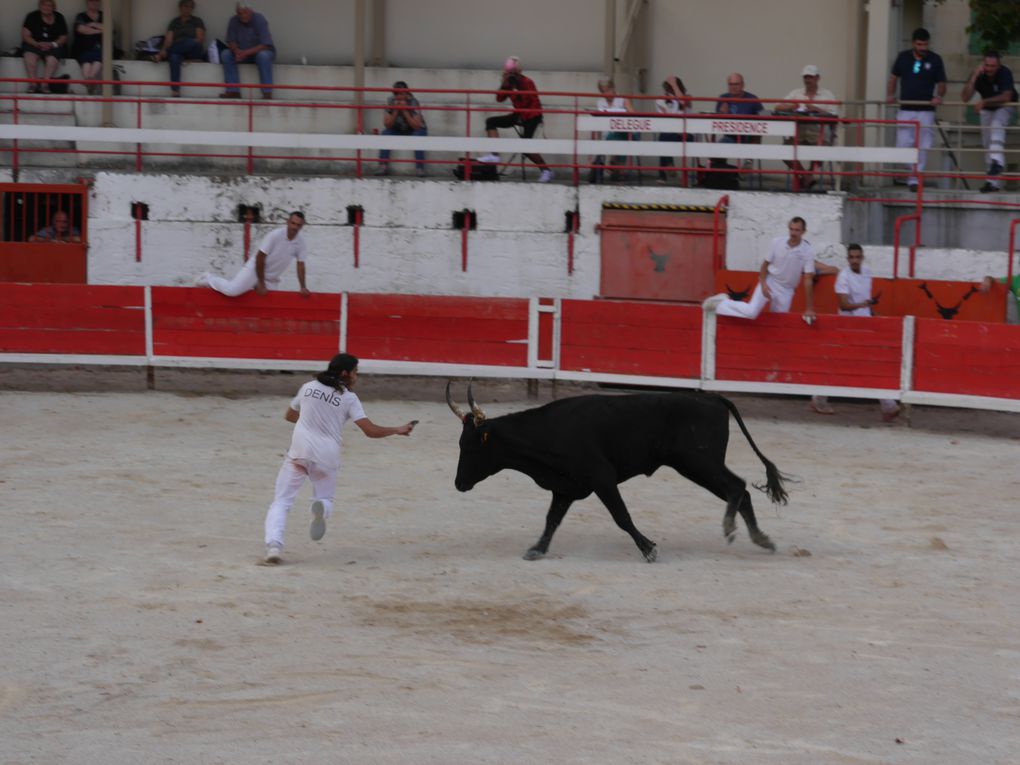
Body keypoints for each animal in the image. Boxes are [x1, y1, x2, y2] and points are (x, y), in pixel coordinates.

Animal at [446, 385, 787, 558]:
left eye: (471, 447)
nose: (459, 483)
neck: (549, 433)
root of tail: (712, 397)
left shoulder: (602, 479)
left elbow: (621, 516)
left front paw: (648, 548)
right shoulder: (565, 487)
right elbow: (552, 519)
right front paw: (537, 548)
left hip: (699, 463)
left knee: (736, 487)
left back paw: (731, 529)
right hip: (697, 465)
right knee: (740, 491)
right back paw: (762, 539)